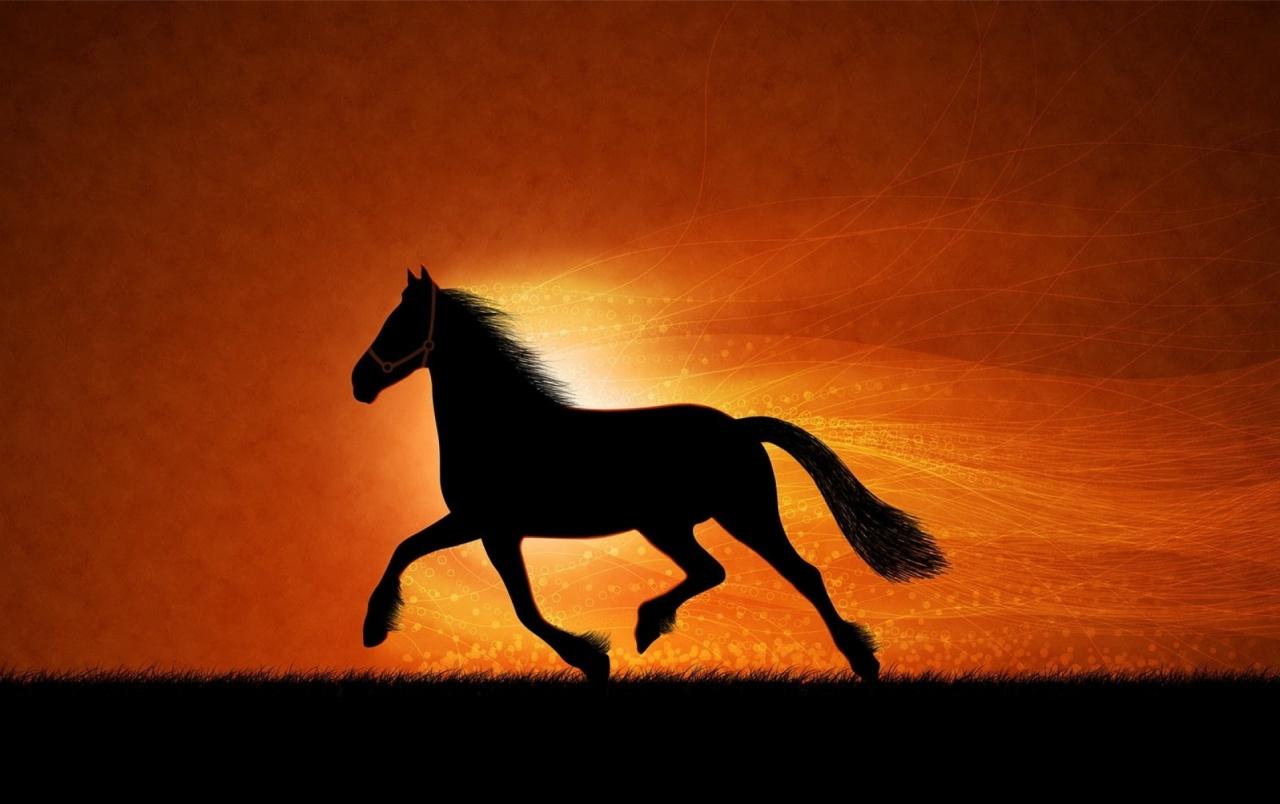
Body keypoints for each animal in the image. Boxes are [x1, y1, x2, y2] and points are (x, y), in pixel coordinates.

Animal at [352, 266, 949, 683]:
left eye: (400, 323)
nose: (359, 382)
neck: (500, 425)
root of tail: (739, 428)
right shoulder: (481, 525)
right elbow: (409, 550)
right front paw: (375, 628)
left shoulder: (491, 526)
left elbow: (518, 606)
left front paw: (591, 658)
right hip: (673, 525)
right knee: (714, 571)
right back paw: (649, 625)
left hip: (736, 517)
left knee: (799, 574)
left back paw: (860, 662)